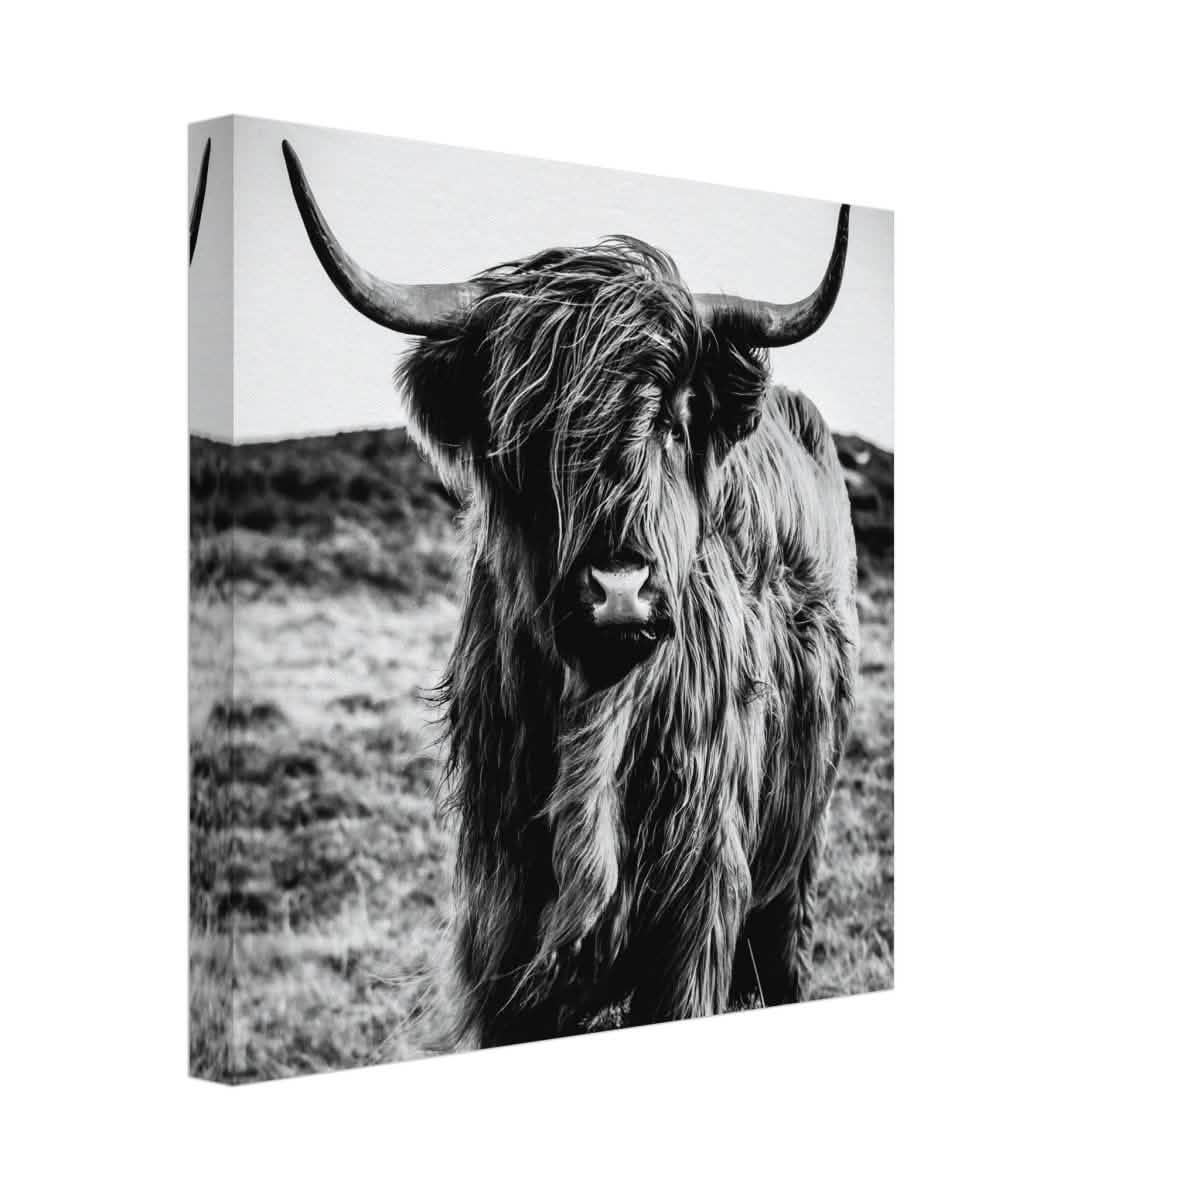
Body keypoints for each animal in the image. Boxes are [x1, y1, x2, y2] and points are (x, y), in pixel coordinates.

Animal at [281, 140, 859, 1048]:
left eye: (670, 418)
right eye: (527, 432)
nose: (619, 589)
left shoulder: (696, 912)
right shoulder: (502, 925)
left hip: (795, 860)